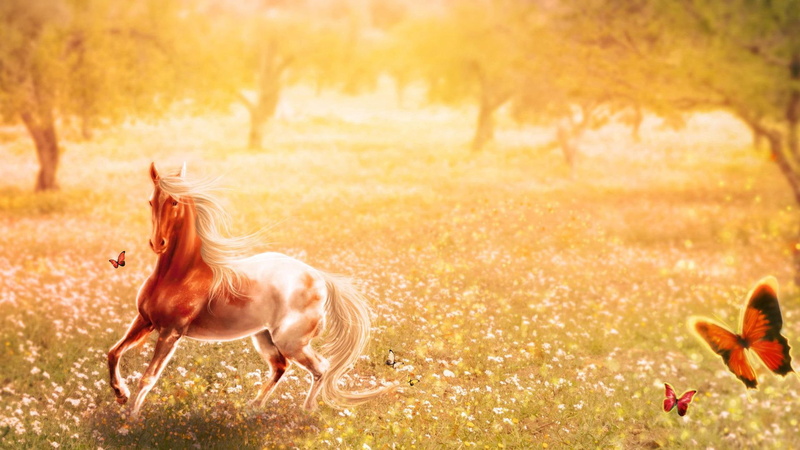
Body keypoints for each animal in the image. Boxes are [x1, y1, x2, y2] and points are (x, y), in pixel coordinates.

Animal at [107, 162, 396, 418]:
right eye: (151, 201)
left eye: (175, 202)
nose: (158, 243)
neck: (180, 275)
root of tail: (318, 276)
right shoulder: (144, 321)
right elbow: (113, 352)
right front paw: (121, 395)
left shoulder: (170, 332)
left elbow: (148, 378)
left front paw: (130, 420)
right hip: (265, 337)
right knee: (281, 367)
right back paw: (254, 407)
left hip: (290, 341)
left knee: (320, 367)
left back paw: (307, 411)